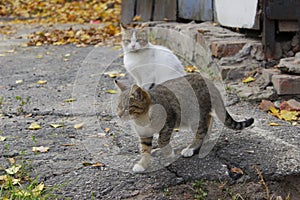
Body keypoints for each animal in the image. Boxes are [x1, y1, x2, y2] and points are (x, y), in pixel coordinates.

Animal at [115, 73, 253, 172]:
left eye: (127, 108)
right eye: (118, 106)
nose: (119, 115)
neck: (141, 119)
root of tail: (207, 80)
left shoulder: (169, 121)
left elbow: (162, 140)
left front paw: (169, 153)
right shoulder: (144, 134)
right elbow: (145, 149)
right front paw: (142, 164)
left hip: (195, 115)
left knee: (201, 130)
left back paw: (191, 148)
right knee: (209, 120)